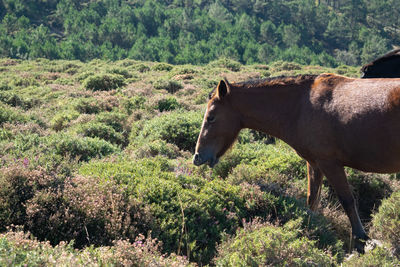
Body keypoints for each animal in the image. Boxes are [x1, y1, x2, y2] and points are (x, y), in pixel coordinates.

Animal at [191, 74, 400, 252]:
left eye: (211, 117)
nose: (197, 156)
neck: (301, 106)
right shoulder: (315, 164)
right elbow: (312, 200)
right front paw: (311, 229)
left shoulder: (330, 163)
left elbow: (347, 201)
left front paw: (361, 239)